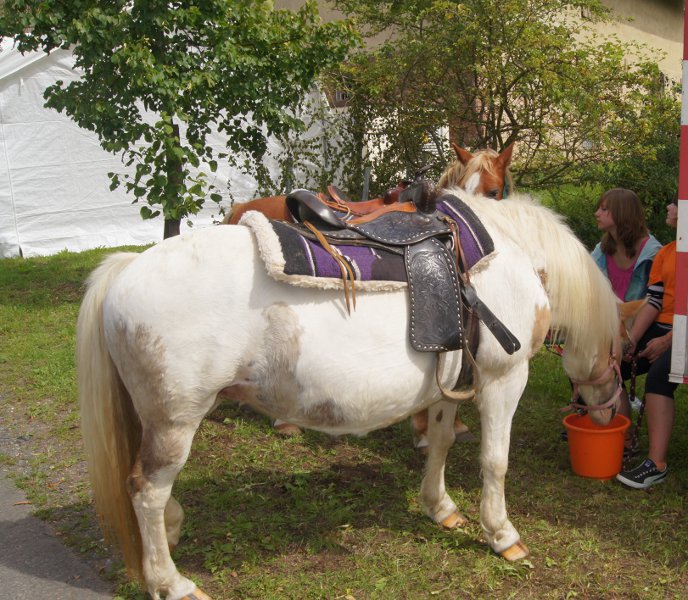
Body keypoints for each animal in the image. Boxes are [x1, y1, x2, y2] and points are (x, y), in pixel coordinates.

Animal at [78, 189, 620, 600]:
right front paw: (503, 534)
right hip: (176, 420)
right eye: (618, 357)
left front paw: (440, 507)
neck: (508, 254)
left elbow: (441, 443)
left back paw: (172, 530)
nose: (604, 417)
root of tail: (126, 271)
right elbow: (495, 461)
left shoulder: (452, 382)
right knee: (146, 491)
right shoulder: (504, 379)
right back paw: (171, 583)